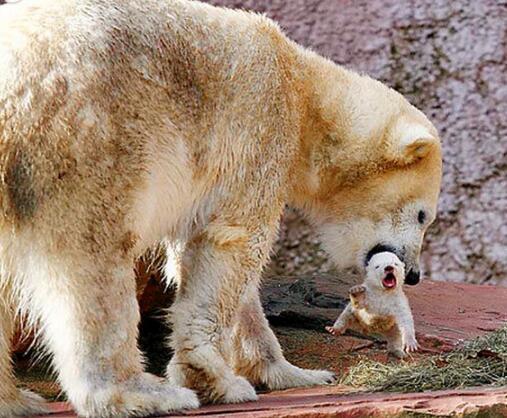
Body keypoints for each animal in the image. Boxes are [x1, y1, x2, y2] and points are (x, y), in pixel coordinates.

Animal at [0, 0, 442, 416]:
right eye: (424, 215)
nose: (414, 274)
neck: (301, 86)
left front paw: (293, 372)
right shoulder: (259, 126)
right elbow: (233, 243)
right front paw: (211, 379)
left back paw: (16, 399)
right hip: (88, 138)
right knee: (93, 262)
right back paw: (141, 393)